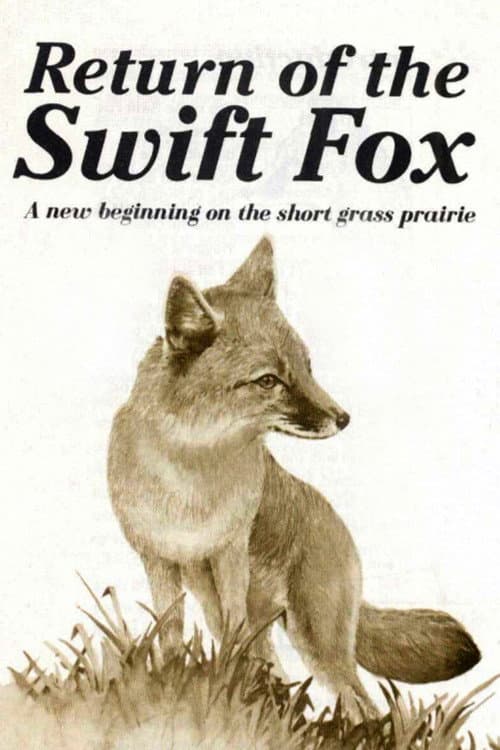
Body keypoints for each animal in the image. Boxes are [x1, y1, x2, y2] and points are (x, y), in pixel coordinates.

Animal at [108, 236, 480, 719]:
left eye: (307, 367)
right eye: (269, 381)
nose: (343, 418)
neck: (188, 478)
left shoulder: (230, 554)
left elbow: (229, 636)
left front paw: (217, 681)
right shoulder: (157, 559)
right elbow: (169, 632)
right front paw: (172, 681)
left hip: (315, 639)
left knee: (363, 705)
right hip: (234, 610)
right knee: (280, 674)